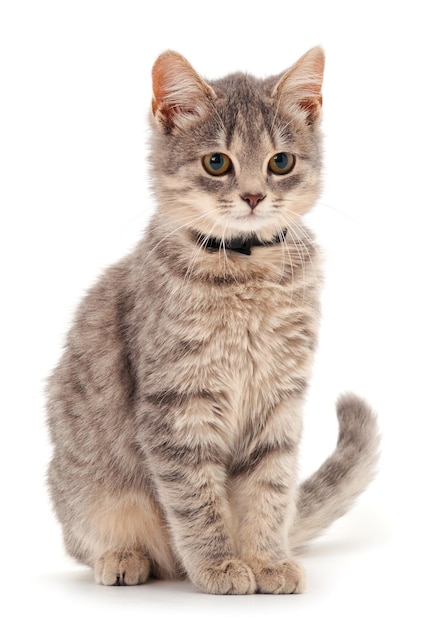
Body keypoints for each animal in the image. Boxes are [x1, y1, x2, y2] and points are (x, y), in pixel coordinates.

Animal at [47, 47, 378, 588]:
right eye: (217, 162)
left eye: (280, 162)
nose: (254, 196)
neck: (246, 269)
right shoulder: (178, 403)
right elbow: (196, 498)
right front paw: (219, 563)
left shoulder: (279, 402)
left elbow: (269, 491)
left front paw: (266, 560)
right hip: (86, 492)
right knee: (93, 541)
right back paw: (124, 558)